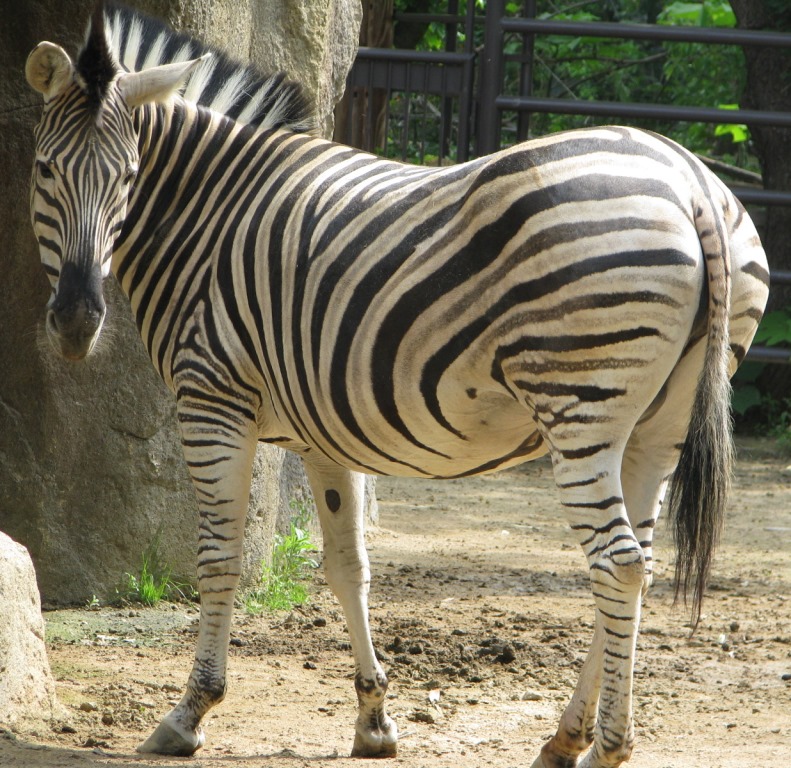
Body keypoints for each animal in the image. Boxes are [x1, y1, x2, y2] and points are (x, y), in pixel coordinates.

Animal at [26, 3, 768, 764]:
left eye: (128, 176)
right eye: (46, 170)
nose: (77, 322)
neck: (209, 214)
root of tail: (690, 181)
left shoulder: (212, 402)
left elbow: (218, 559)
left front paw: (190, 713)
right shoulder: (322, 431)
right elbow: (347, 565)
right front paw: (373, 718)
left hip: (580, 407)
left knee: (616, 563)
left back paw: (608, 745)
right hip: (657, 424)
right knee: (638, 562)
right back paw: (566, 737)